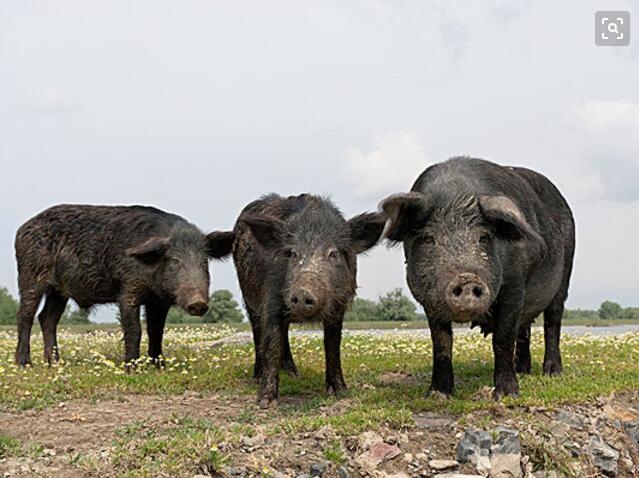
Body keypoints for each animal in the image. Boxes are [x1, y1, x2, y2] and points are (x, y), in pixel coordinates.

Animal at [15, 204, 234, 366]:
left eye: (204, 260)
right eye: (174, 260)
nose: (198, 303)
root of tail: (22, 228)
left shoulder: (158, 302)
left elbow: (157, 331)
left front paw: (160, 366)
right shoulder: (128, 289)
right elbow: (134, 329)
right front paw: (132, 368)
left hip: (59, 291)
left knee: (47, 318)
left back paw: (55, 363)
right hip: (30, 274)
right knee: (25, 315)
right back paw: (25, 364)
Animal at [234, 194, 388, 408]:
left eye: (333, 253)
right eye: (292, 253)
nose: (302, 292)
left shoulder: (338, 307)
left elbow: (332, 345)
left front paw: (341, 392)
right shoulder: (271, 299)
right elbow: (272, 344)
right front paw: (266, 402)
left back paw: (294, 375)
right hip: (248, 298)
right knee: (258, 333)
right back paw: (258, 377)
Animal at [380, 158, 576, 400]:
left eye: (483, 237)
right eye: (428, 239)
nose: (466, 278)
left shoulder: (514, 285)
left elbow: (503, 338)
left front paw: (506, 395)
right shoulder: (429, 299)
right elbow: (441, 342)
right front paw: (437, 394)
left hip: (565, 275)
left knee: (552, 322)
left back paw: (552, 373)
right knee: (525, 329)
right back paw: (523, 371)